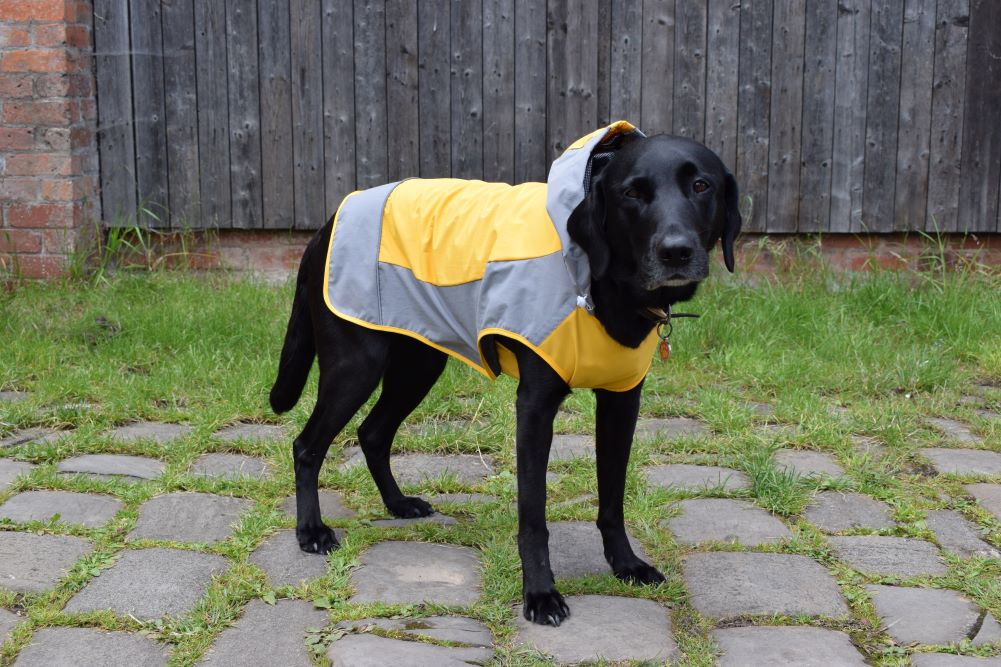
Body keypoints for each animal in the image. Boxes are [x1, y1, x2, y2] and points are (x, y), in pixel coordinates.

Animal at [270, 131, 740, 624]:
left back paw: (397, 503)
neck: (599, 279)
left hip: (419, 364)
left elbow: (612, 500)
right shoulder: (534, 407)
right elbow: (533, 515)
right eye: (632, 192)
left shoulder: (621, 402)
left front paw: (626, 564)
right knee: (307, 445)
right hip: (355, 367)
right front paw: (540, 593)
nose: (676, 250)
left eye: (702, 186)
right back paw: (311, 530)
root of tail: (326, 226)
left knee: (373, 432)